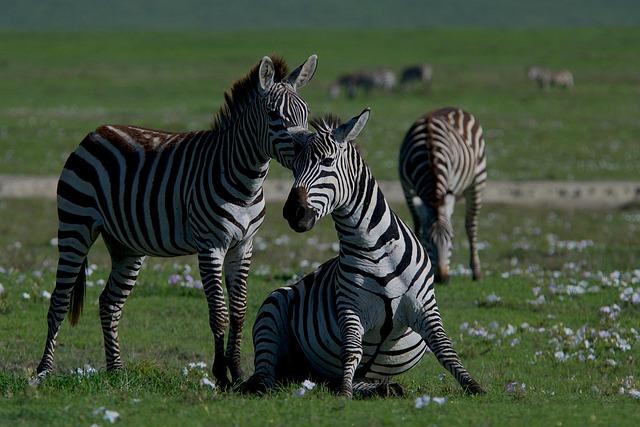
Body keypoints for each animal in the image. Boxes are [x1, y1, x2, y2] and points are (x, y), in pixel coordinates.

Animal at [33, 53, 318, 388]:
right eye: (274, 115)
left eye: (306, 113)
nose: (308, 152)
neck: (246, 181)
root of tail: (96, 132)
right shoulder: (210, 246)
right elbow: (219, 312)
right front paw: (221, 374)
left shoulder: (243, 246)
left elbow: (239, 311)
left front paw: (237, 372)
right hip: (75, 225)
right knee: (59, 300)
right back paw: (44, 370)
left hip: (127, 246)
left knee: (109, 303)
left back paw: (116, 370)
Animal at [398, 107, 488, 282]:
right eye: (426, 239)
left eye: (451, 239)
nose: (442, 278)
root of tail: (454, 108)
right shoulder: (407, 190)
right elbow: (417, 223)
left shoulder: (449, 186)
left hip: (477, 180)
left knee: (471, 225)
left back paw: (476, 272)